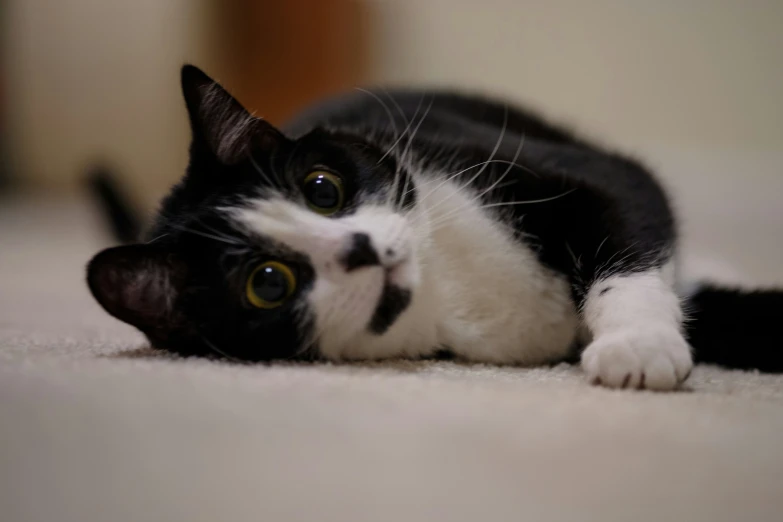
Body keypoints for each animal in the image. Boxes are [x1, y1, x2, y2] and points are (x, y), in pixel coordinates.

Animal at [86, 65, 783, 388]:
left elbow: (630, 203)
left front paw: (638, 344)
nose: (361, 249)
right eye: (267, 283)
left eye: (322, 188)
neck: (449, 285)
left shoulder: (566, 171)